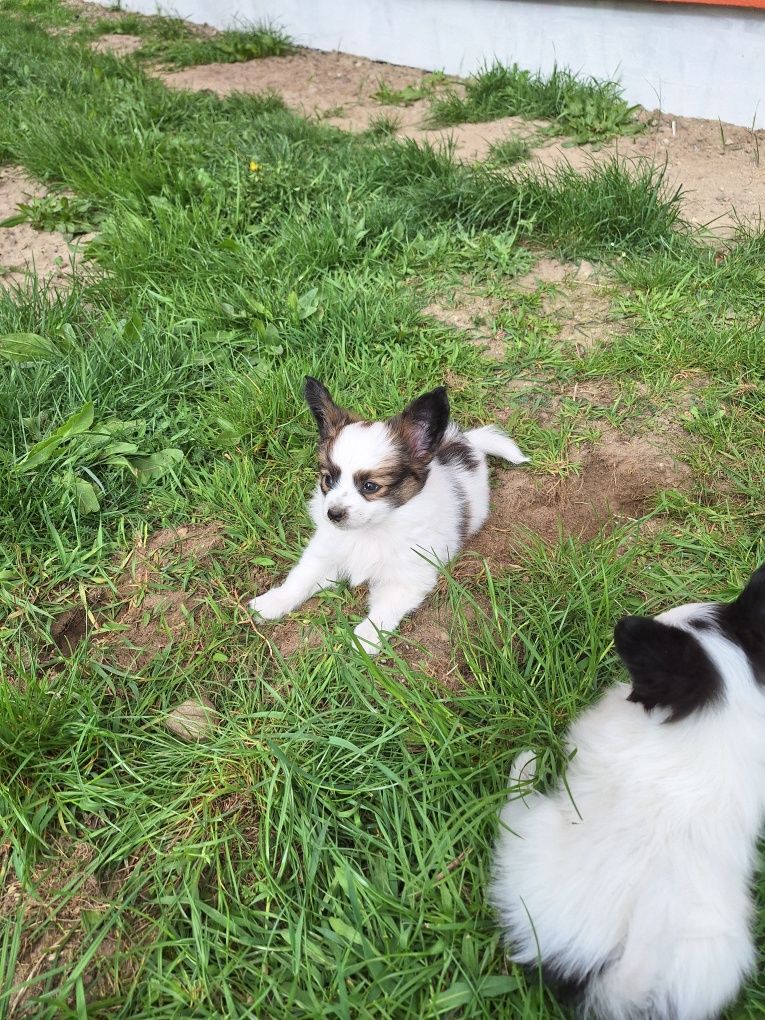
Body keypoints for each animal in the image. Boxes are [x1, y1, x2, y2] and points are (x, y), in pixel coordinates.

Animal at [248, 377, 530, 652]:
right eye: (328, 479)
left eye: (370, 486)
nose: (333, 514)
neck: (371, 530)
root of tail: (465, 443)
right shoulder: (325, 554)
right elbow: (301, 578)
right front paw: (273, 602)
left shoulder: (408, 576)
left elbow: (384, 610)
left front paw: (364, 639)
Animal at [491, 567, 765, 1020]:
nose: (627, 624)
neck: (723, 710)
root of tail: (616, 980)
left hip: (535, 834)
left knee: (511, 817)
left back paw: (524, 767)